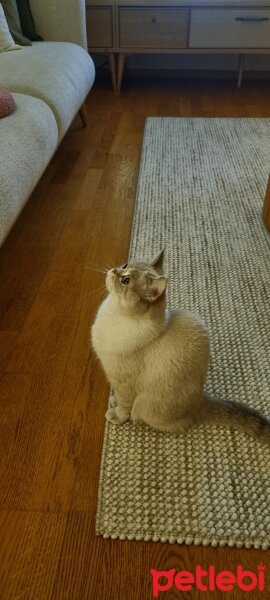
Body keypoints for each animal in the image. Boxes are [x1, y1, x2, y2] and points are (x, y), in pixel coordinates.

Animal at [91, 248, 270, 440]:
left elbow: (123, 407)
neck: (112, 313)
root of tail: (201, 400)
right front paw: (113, 400)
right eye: (124, 266)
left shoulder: (123, 384)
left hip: (146, 406)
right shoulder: (117, 382)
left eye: (125, 280)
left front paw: (115, 414)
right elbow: (117, 396)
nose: (113, 271)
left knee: (176, 425)